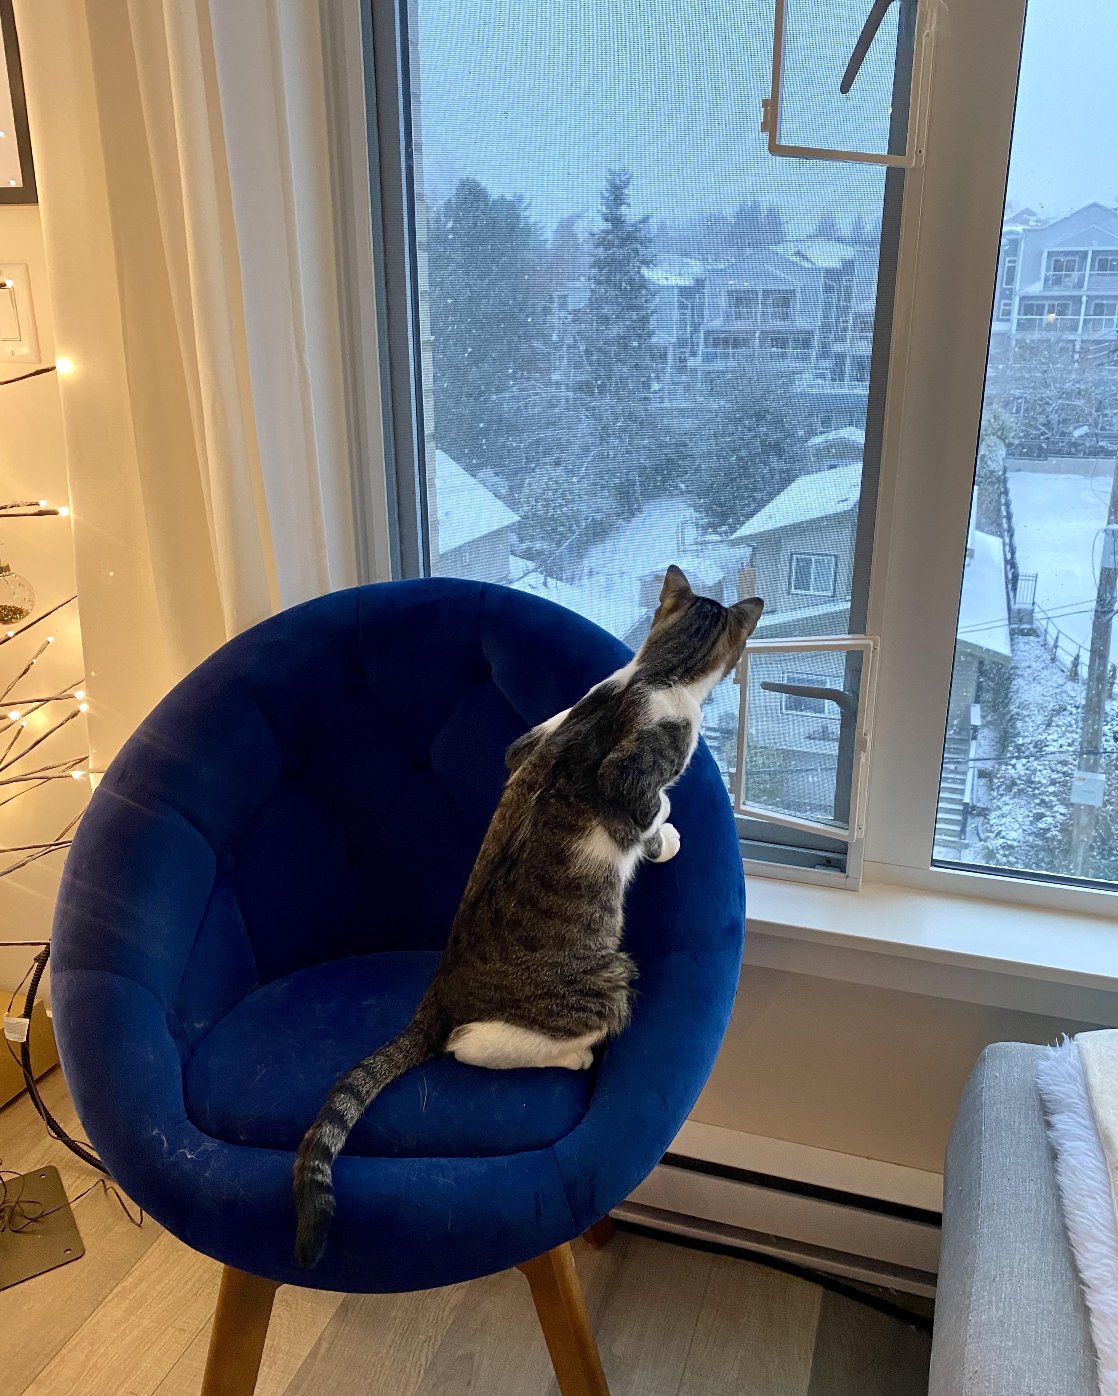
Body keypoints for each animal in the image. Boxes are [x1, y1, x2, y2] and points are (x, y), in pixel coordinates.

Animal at [292, 565, 764, 1267]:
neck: (655, 672)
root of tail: (440, 993)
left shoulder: (529, 742)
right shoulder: (629, 776)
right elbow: (648, 812)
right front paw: (668, 836)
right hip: (607, 981)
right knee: (471, 1044)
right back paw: (575, 1057)